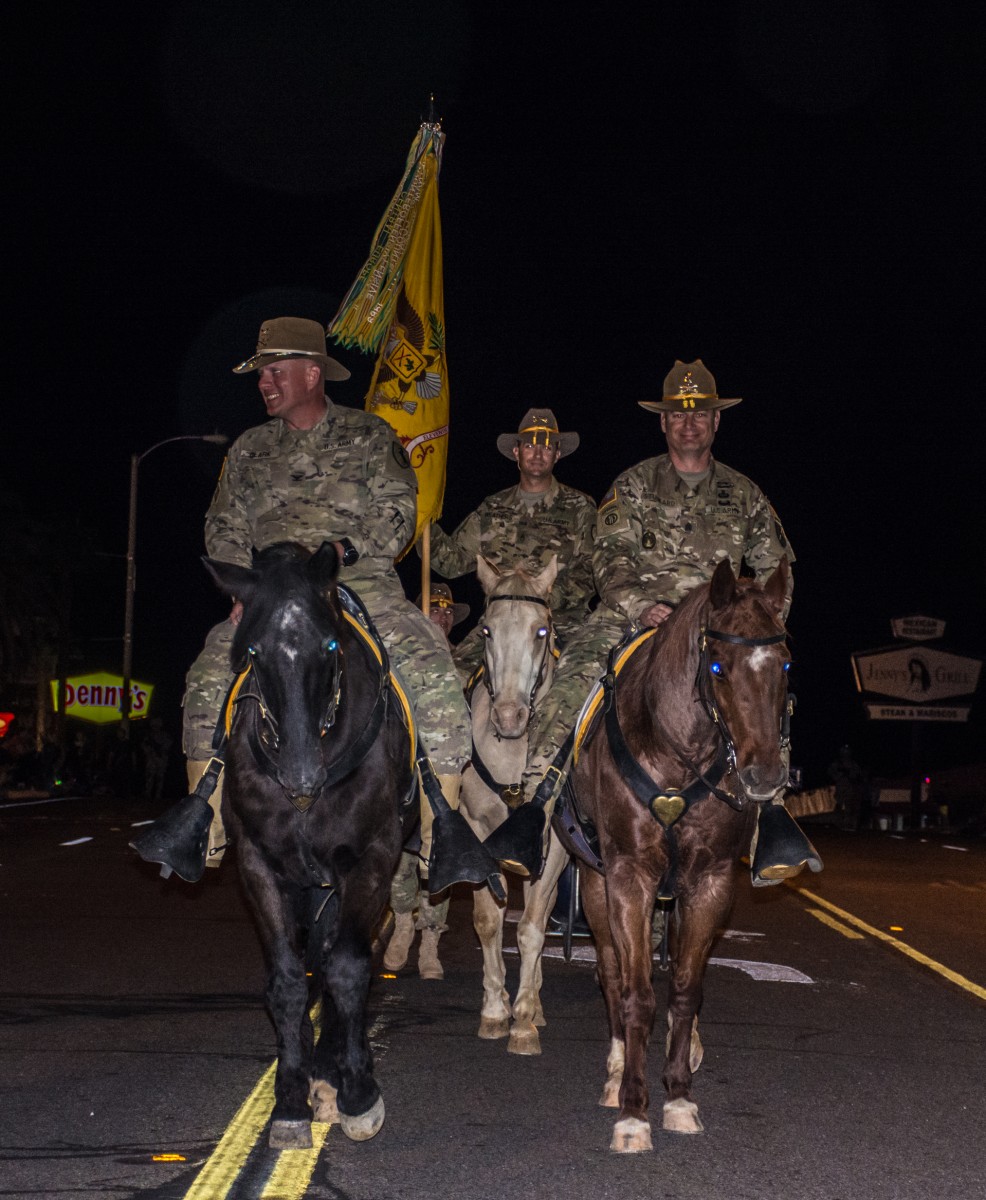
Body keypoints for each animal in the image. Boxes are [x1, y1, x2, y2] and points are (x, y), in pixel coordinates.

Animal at [205, 542, 417, 1142]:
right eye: (253, 650)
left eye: (330, 645)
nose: (301, 778)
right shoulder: (259, 865)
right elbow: (287, 981)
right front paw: (290, 1098)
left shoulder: (368, 861)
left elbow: (348, 969)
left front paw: (358, 1092)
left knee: (342, 956)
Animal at [570, 559, 796, 1152]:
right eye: (717, 665)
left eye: (786, 663)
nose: (764, 776)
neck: (679, 756)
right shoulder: (628, 878)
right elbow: (637, 995)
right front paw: (633, 1111)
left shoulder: (710, 882)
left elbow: (686, 993)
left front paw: (678, 1098)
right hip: (594, 884)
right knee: (610, 973)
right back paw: (615, 1071)